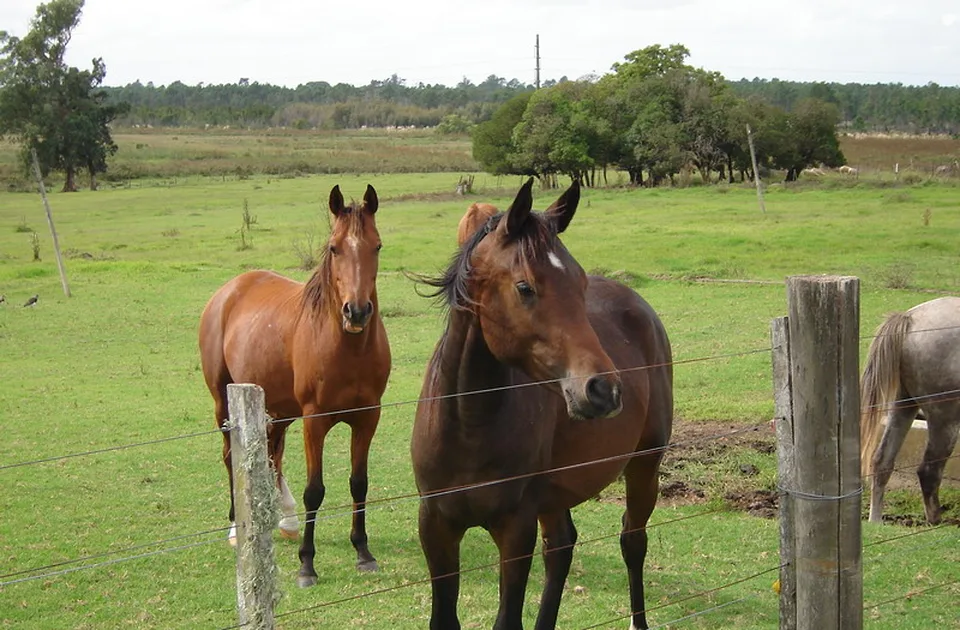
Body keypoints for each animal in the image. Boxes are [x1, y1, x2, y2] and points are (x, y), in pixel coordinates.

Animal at [199, 184, 391, 586]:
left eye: (377, 246)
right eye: (334, 247)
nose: (357, 311)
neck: (347, 348)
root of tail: (229, 290)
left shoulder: (368, 417)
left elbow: (359, 482)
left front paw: (363, 551)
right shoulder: (314, 421)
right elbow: (314, 491)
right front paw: (307, 564)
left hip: (278, 408)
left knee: (273, 455)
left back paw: (283, 519)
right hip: (224, 403)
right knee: (231, 456)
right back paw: (237, 528)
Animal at [411, 178, 673, 630]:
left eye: (581, 284)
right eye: (525, 287)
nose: (603, 390)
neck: (467, 424)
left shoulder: (515, 528)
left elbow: (508, 618)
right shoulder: (436, 525)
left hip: (644, 465)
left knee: (632, 540)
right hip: (555, 494)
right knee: (561, 548)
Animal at [860, 296, 960, 524]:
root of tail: (910, 318)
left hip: (903, 405)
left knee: (881, 461)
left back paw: (876, 521)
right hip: (945, 420)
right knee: (929, 472)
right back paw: (934, 523)